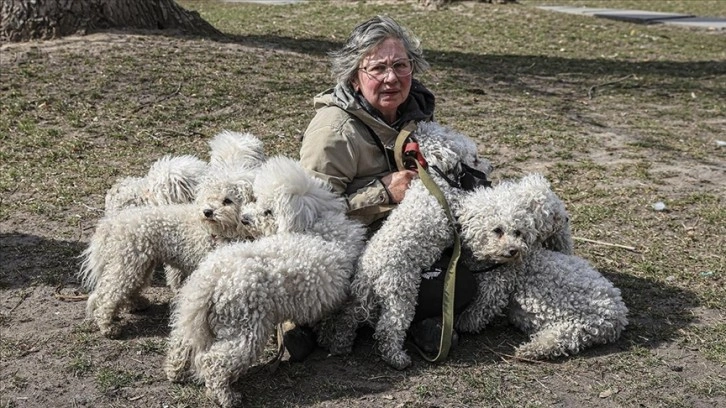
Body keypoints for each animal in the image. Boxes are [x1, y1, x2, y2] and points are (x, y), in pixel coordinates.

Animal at [166, 155, 370, 408]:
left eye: (268, 211)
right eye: (257, 199)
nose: (244, 219)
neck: (317, 224)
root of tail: (212, 279)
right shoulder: (335, 296)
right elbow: (336, 321)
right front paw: (336, 343)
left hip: (196, 320)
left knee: (181, 342)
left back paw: (174, 370)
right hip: (245, 329)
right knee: (214, 362)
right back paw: (226, 397)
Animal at [320, 120, 498, 370]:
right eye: (474, 158)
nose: (491, 166)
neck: (436, 180)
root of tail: (369, 274)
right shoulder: (456, 207)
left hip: (359, 300)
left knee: (348, 319)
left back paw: (340, 346)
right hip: (401, 294)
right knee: (389, 328)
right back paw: (397, 358)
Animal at [458, 174, 628, 358]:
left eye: (517, 232)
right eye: (497, 230)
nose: (513, 250)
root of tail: (619, 316)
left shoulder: (495, 287)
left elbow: (479, 310)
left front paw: (463, 324)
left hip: (579, 326)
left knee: (558, 340)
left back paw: (529, 350)